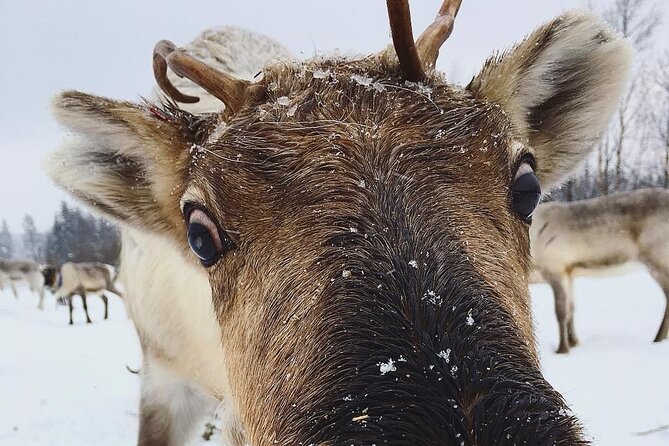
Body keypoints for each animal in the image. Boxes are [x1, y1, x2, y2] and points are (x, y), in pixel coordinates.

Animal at [530, 188, 669, 354]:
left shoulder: (555, 268)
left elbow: (561, 312)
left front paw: (562, 349)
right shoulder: (569, 273)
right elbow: (571, 309)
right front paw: (574, 342)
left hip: (657, 259)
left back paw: (657, 339)